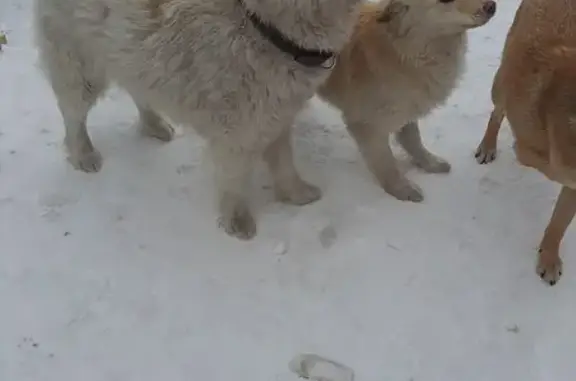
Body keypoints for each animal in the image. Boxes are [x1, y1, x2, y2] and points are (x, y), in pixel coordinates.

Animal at [33, 0, 360, 239]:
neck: (262, 27)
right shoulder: (238, 131)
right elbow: (233, 180)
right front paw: (237, 221)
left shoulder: (278, 115)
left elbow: (284, 163)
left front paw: (296, 194)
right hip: (80, 64)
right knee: (72, 114)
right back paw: (83, 153)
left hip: (128, 57)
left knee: (137, 89)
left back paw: (153, 124)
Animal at [318, 0, 498, 202]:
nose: (492, 6)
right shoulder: (366, 123)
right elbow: (386, 161)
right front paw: (401, 189)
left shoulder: (407, 107)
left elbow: (414, 141)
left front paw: (430, 163)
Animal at [474, 0, 576, 284]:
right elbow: (529, 155)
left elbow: (559, 223)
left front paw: (549, 257)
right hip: (500, 83)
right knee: (497, 113)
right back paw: (488, 146)